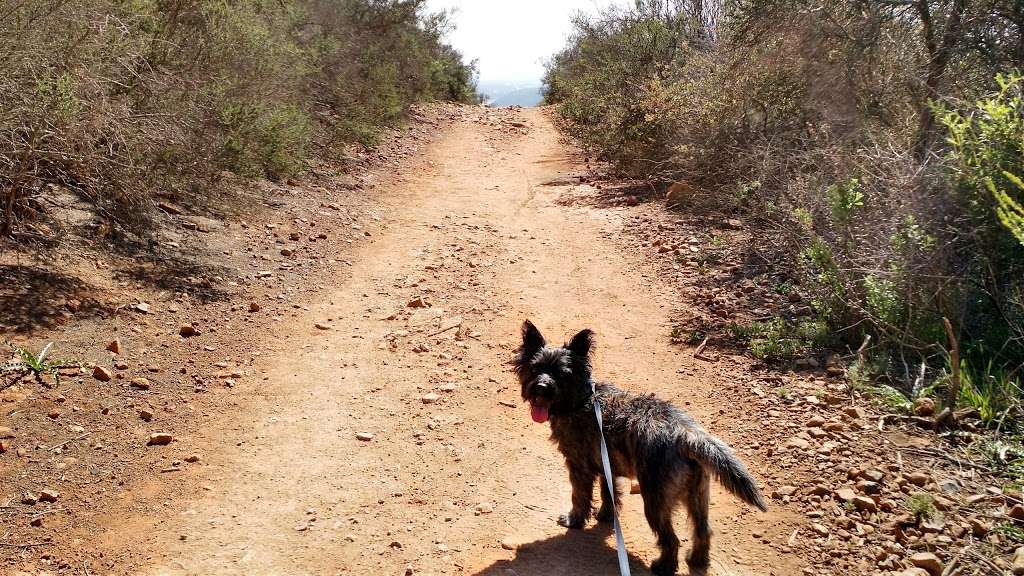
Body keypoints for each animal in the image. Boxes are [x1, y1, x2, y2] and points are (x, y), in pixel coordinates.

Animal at [516, 319, 765, 569]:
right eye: (535, 369)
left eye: (562, 374)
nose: (541, 388)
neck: (583, 399)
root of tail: (688, 434)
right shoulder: (607, 467)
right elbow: (609, 493)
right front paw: (606, 516)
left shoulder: (579, 467)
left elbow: (580, 496)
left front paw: (574, 519)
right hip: (698, 496)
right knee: (703, 531)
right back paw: (697, 560)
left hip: (655, 501)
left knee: (671, 539)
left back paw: (663, 566)